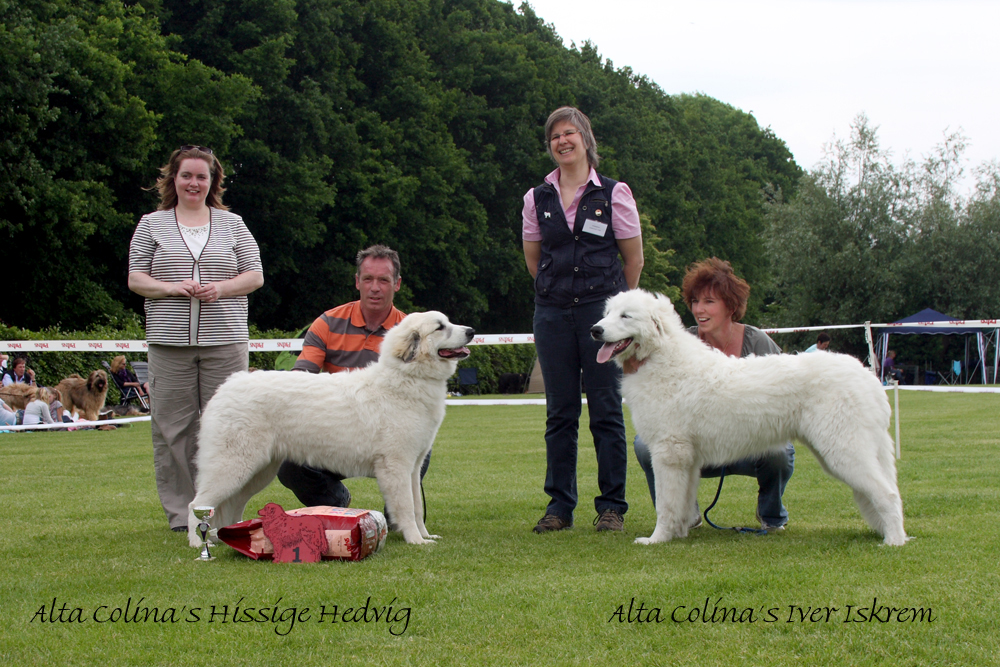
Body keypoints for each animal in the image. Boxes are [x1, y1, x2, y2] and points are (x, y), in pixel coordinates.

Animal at [188, 310, 476, 548]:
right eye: (440, 327)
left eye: (448, 322)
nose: (472, 331)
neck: (406, 378)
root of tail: (226, 386)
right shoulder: (396, 465)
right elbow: (406, 506)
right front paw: (416, 540)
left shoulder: (414, 467)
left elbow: (417, 506)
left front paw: (425, 535)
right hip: (233, 466)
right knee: (197, 504)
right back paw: (198, 542)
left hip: (257, 471)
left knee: (231, 504)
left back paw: (232, 536)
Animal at [588, 290, 912, 548]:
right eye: (607, 314)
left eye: (626, 316)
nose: (594, 330)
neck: (660, 356)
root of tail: (868, 377)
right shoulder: (687, 460)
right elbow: (682, 502)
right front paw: (678, 534)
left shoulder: (669, 452)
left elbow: (665, 505)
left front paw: (657, 539)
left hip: (843, 450)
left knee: (888, 493)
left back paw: (894, 541)